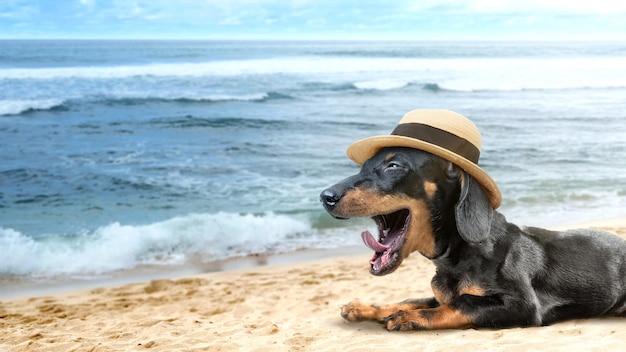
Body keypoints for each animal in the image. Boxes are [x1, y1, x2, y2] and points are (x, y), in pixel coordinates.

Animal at [320, 109, 620, 330]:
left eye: (393, 166)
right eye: (364, 166)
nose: (325, 196)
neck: (459, 255)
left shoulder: (521, 304)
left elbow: (461, 303)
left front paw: (409, 318)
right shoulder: (438, 294)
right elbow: (414, 299)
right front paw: (365, 308)